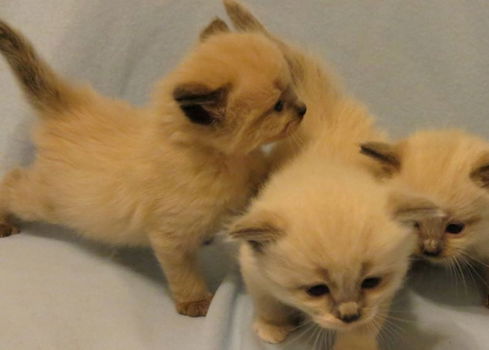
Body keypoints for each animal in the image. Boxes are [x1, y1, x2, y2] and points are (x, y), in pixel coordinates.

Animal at [0, 16, 304, 318]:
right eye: (278, 106)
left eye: (292, 88)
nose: (303, 108)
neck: (225, 159)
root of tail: (70, 109)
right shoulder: (170, 237)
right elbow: (184, 274)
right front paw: (195, 302)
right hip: (50, 202)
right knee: (12, 181)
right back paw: (5, 222)